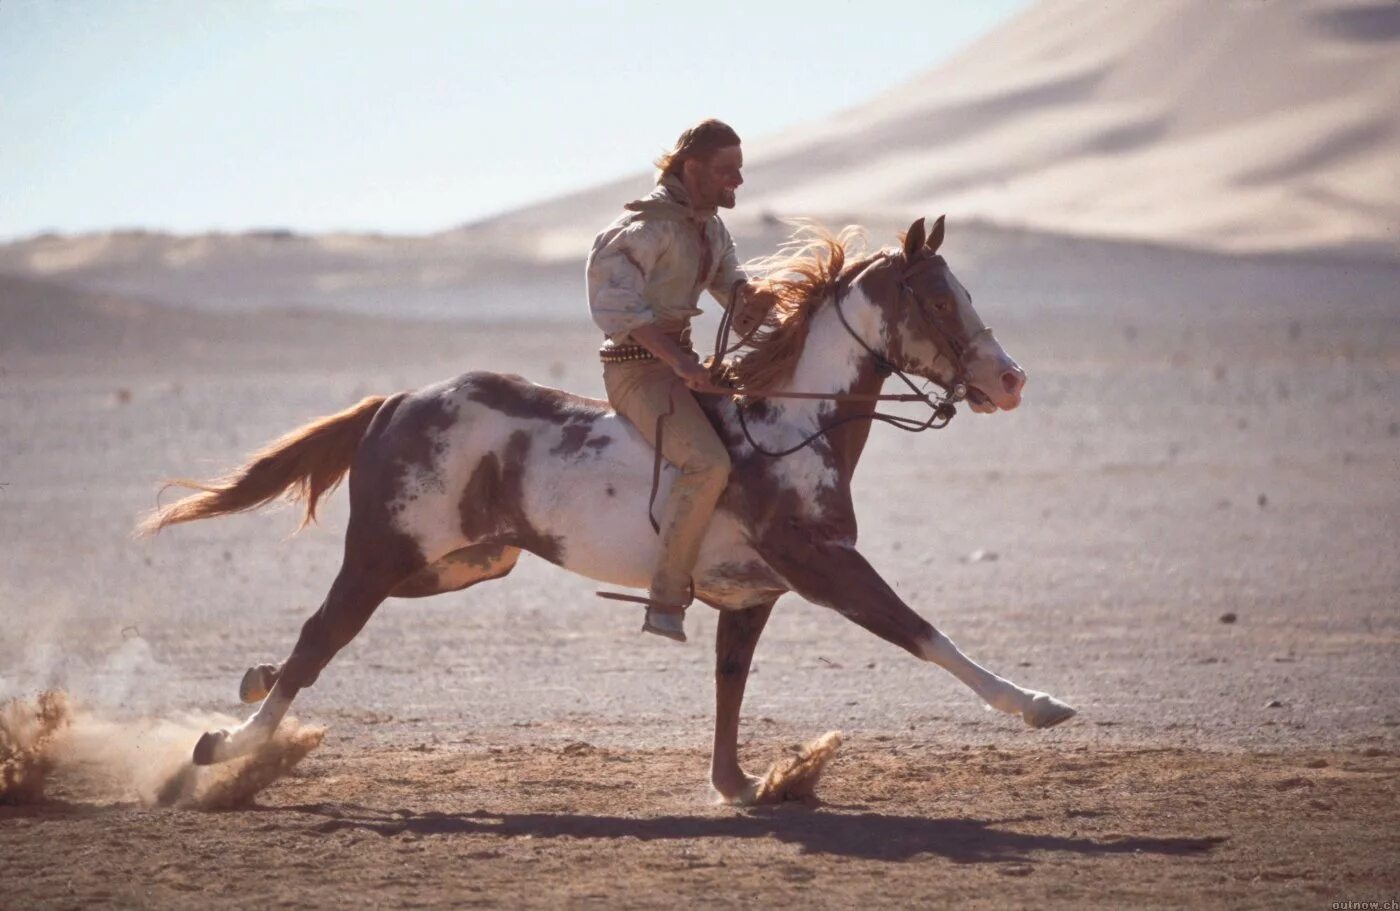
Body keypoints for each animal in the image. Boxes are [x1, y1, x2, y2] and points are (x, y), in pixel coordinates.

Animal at [142, 216, 1075, 800]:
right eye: (940, 298)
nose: (1011, 379)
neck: (787, 425)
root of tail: (398, 401)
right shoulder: (827, 568)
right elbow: (925, 633)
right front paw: (1038, 703)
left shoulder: (754, 593)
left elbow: (730, 684)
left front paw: (740, 784)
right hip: (381, 555)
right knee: (319, 637)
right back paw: (228, 744)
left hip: (467, 562)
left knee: (313, 641)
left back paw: (251, 683)